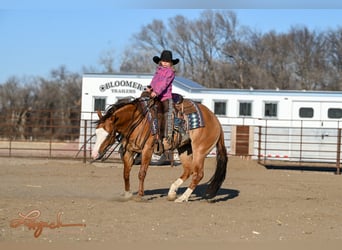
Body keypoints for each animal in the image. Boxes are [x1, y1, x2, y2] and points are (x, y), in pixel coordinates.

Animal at [92, 94, 228, 202]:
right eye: (96, 132)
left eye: (108, 134)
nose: (94, 154)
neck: (137, 120)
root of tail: (215, 120)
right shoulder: (129, 151)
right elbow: (125, 173)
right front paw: (127, 194)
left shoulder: (147, 150)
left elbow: (142, 173)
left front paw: (140, 195)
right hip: (184, 148)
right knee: (188, 170)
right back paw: (172, 193)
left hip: (199, 151)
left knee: (198, 174)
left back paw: (182, 198)